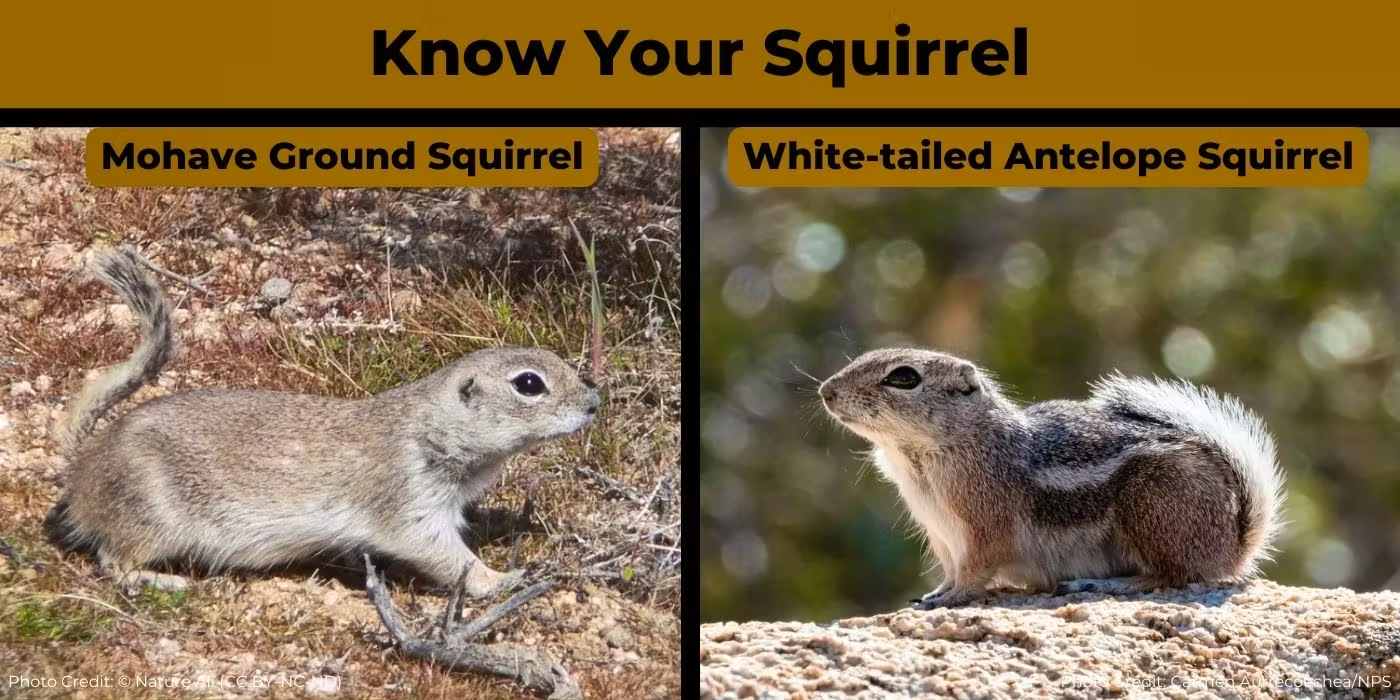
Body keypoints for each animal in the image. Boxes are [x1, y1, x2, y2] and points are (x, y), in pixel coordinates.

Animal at [46, 247, 600, 595]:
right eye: (528, 383)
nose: (594, 404)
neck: (430, 425)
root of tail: (82, 467)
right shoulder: (410, 508)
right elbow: (451, 559)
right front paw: (505, 580)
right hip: (150, 521)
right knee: (114, 561)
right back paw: (164, 581)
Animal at [818, 347, 1286, 610]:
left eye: (904, 377)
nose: (826, 390)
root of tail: (1232, 546)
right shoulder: (942, 535)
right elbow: (951, 571)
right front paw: (935, 594)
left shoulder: (986, 529)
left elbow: (974, 572)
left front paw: (948, 600)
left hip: (1152, 502)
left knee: (1171, 575)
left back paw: (1104, 582)